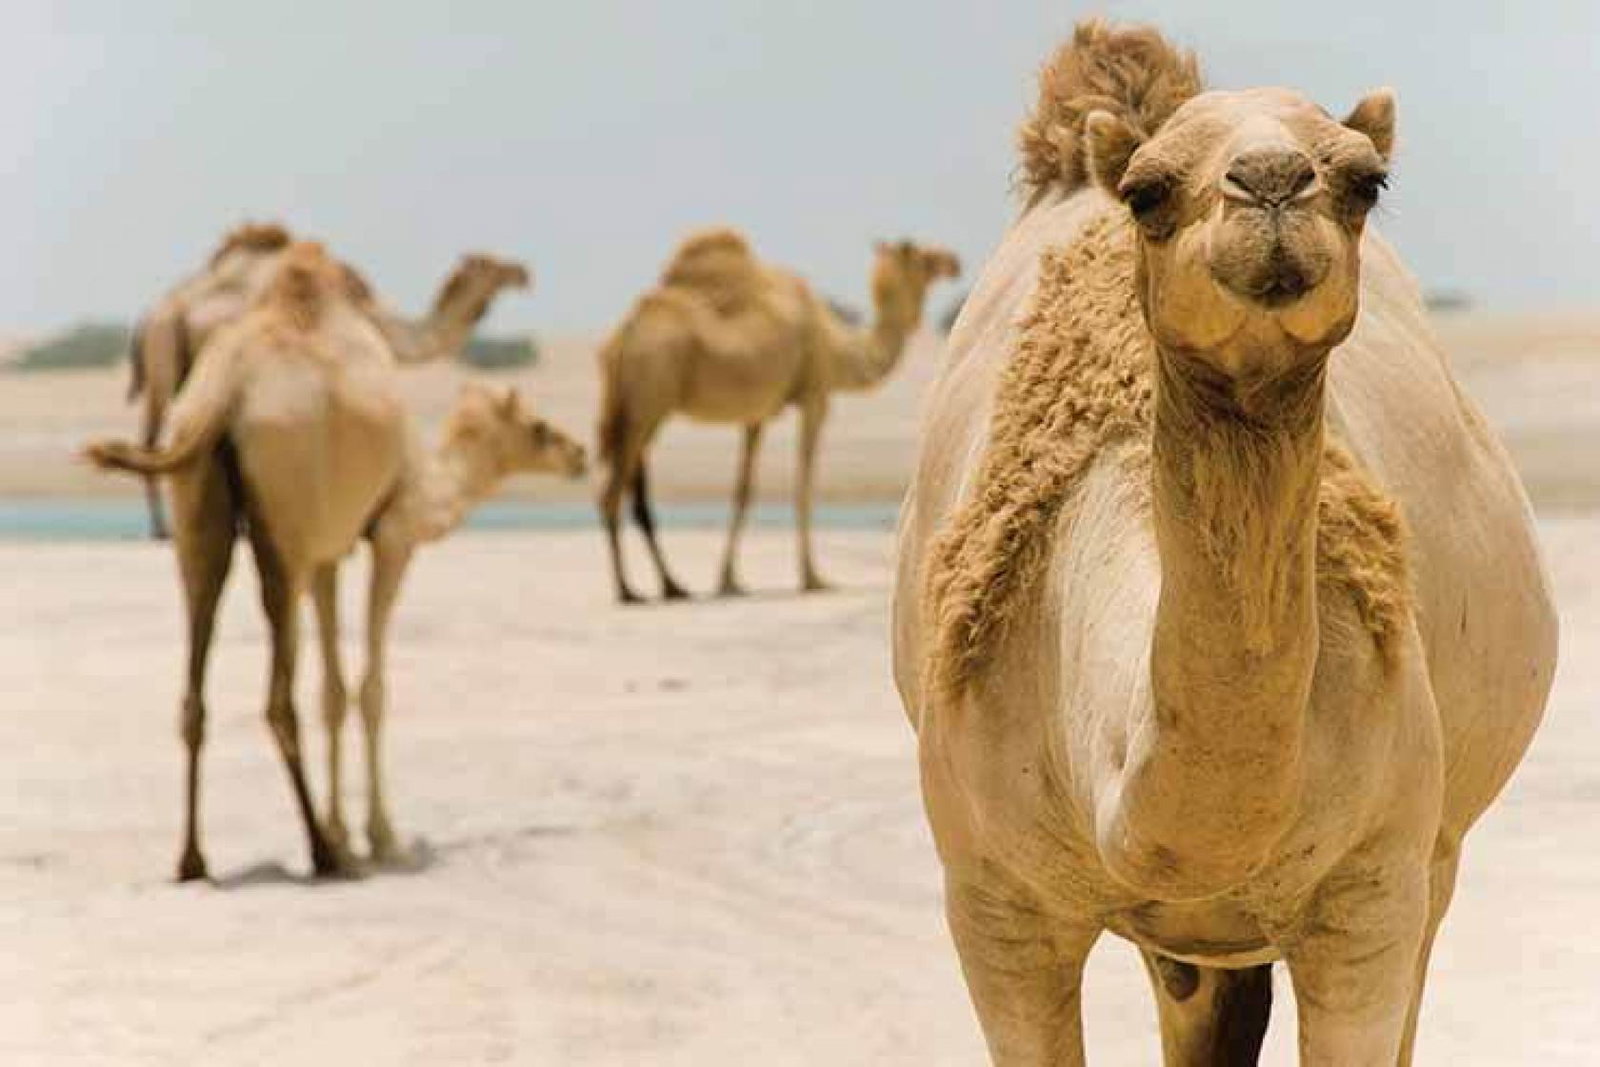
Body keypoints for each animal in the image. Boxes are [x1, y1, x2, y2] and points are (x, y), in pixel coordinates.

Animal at [128, 221, 531, 537]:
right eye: (487, 263)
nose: (523, 272)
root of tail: (153, 313)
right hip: (164, 358)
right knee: (151, 440)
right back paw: (162, 530)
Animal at [596, 229, 959, 602]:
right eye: (925, 258)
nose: (954, 262)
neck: (838, 347)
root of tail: (621, 336)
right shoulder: (815, 396)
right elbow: (803, 487)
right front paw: (813, 577)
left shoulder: (757, 415)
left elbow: (743, 490)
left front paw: (729, 580)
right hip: (649, 398)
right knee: (611, 493)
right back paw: (627, 589)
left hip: (639, 407)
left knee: (633, 491)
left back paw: (672, 585)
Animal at [892, 21, 1556, 1065]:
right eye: (1147, 193)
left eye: (1366, 180)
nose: (1273, 180)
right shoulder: (994, 899)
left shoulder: (1372, 889)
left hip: (1436, 853)